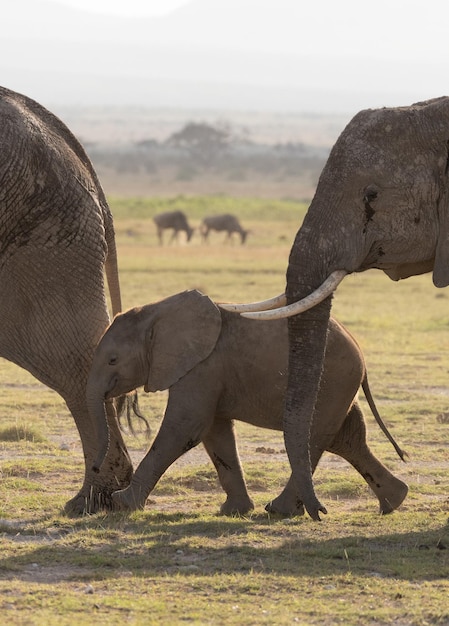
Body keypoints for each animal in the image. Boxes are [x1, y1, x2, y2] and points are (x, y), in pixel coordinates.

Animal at [86, 290, 406, 516]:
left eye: (113, 359)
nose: (97, 470)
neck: (155, 310)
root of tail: (361, 354)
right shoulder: (210, 373)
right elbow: (215, 433)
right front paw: (234, 511)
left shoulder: (202, 367)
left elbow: (185, 428)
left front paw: (122, 503)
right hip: (338, 388)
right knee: (347, 439)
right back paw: (394, 501)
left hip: (331, 382)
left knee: (316, 437)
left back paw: (279, 510)